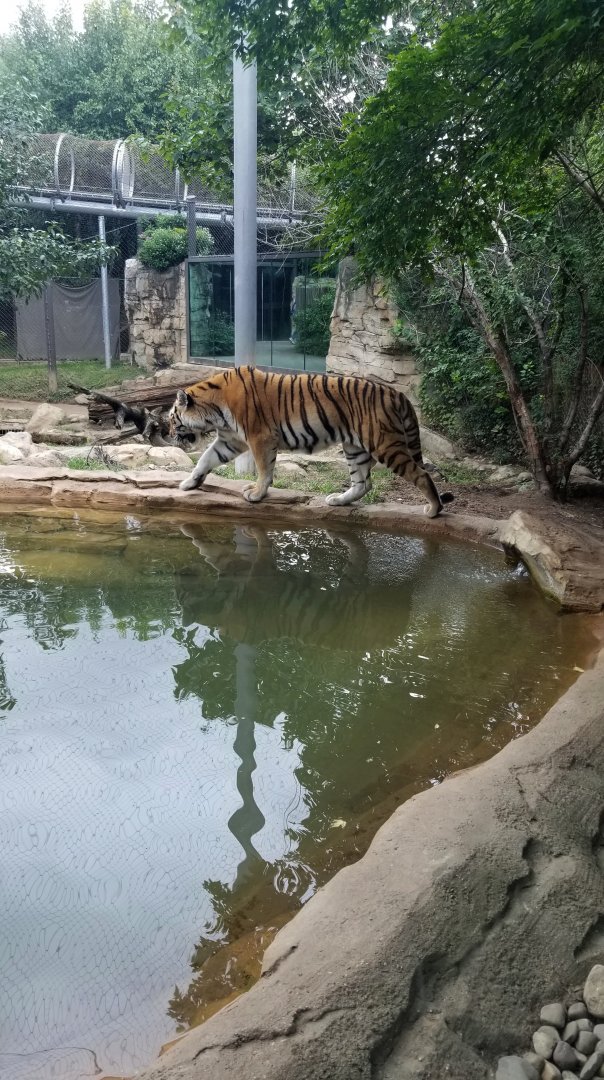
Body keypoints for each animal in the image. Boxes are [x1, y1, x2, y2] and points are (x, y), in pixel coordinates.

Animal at [168, 365, 454, 517]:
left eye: (172, 420)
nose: (170, 435)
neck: (214, 411)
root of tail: (397, 394)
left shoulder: (260, 437)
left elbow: (264, 469)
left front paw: (257, 494)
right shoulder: (231, 440)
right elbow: (205, 460)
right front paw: (188, 484)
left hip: (384, 444)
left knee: (421, 474)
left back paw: (433, 509)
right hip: (354, 447)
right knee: (363, 483)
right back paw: (338, 500)